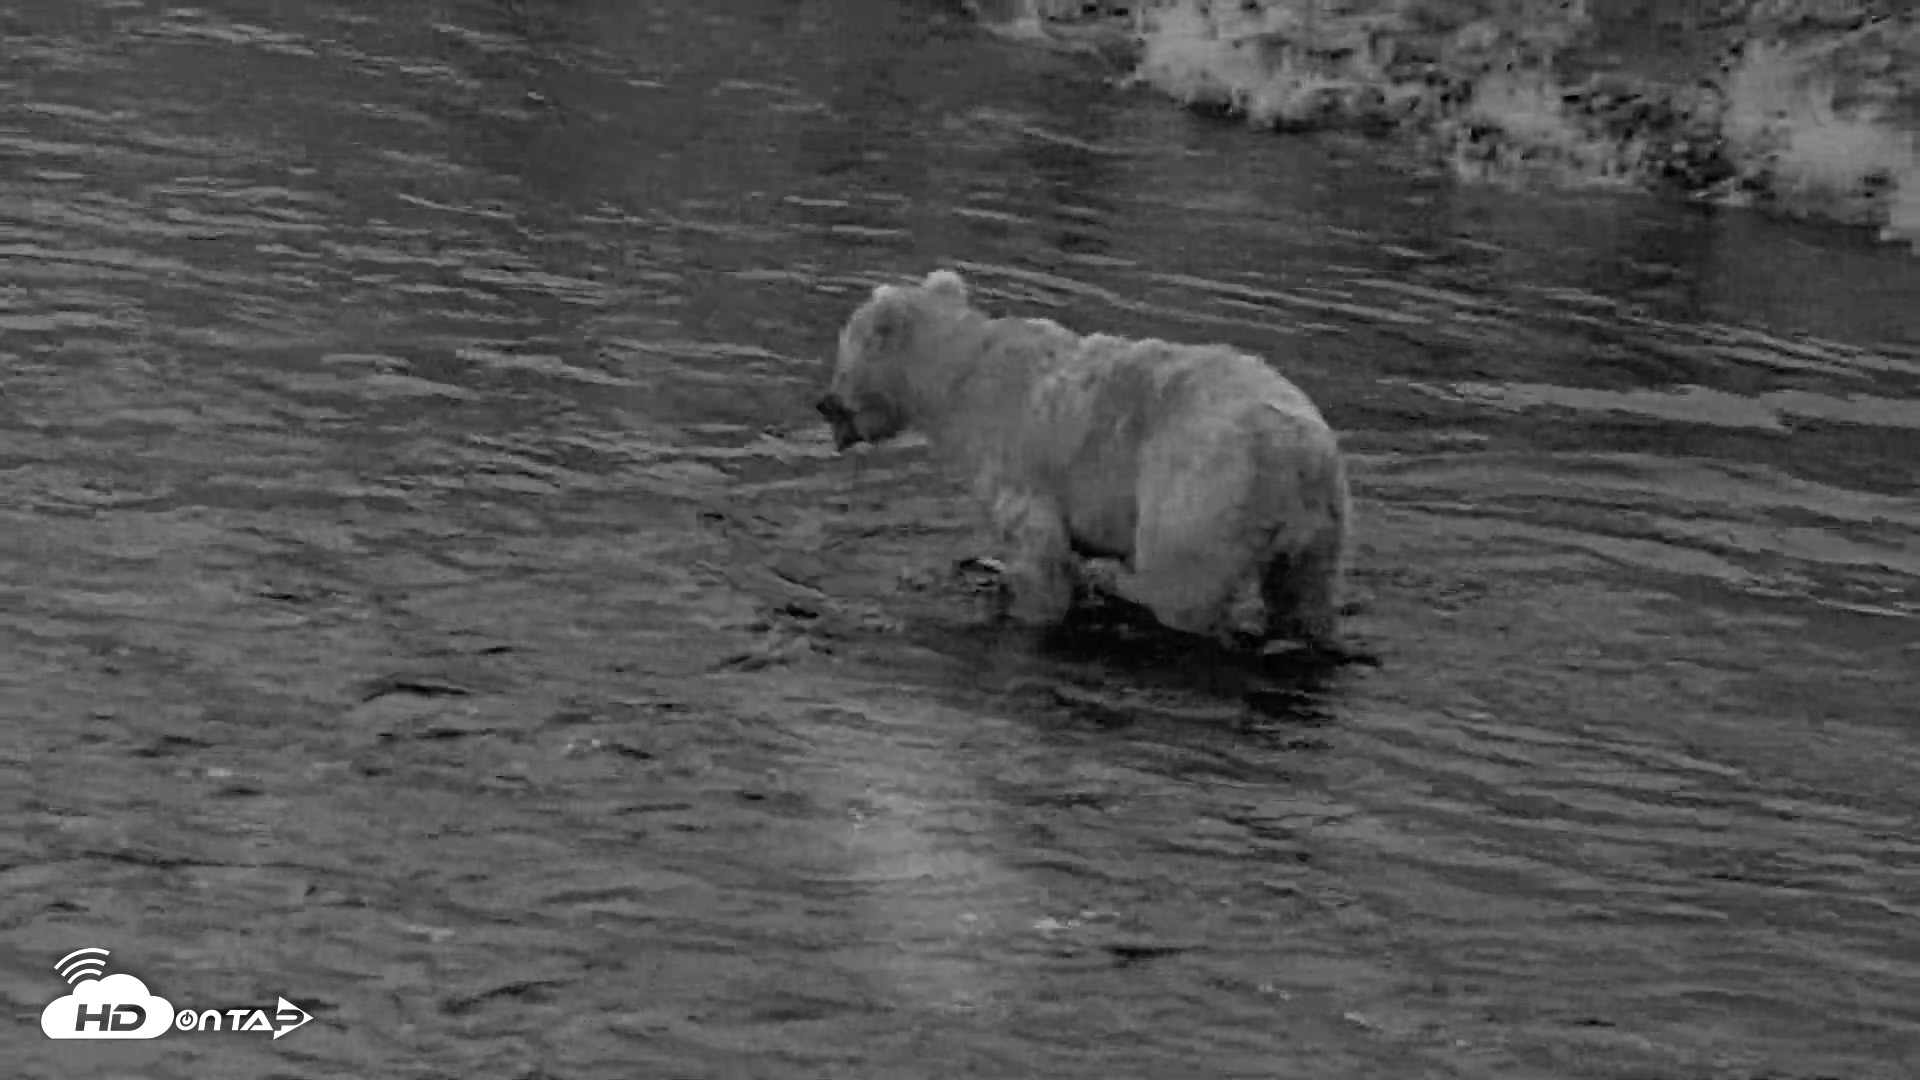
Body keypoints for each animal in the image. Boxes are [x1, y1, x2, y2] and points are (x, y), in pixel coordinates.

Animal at [816, 268, 1353, 656]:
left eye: (843, 353)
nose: (823, 403)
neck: (961, 375)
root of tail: (1300, 448)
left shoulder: (1015, 452)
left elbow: (1039, 550)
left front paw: (1025, 607)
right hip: (1318, 524)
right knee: (1302, 595)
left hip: (1205, 491)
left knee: (1183, 585)